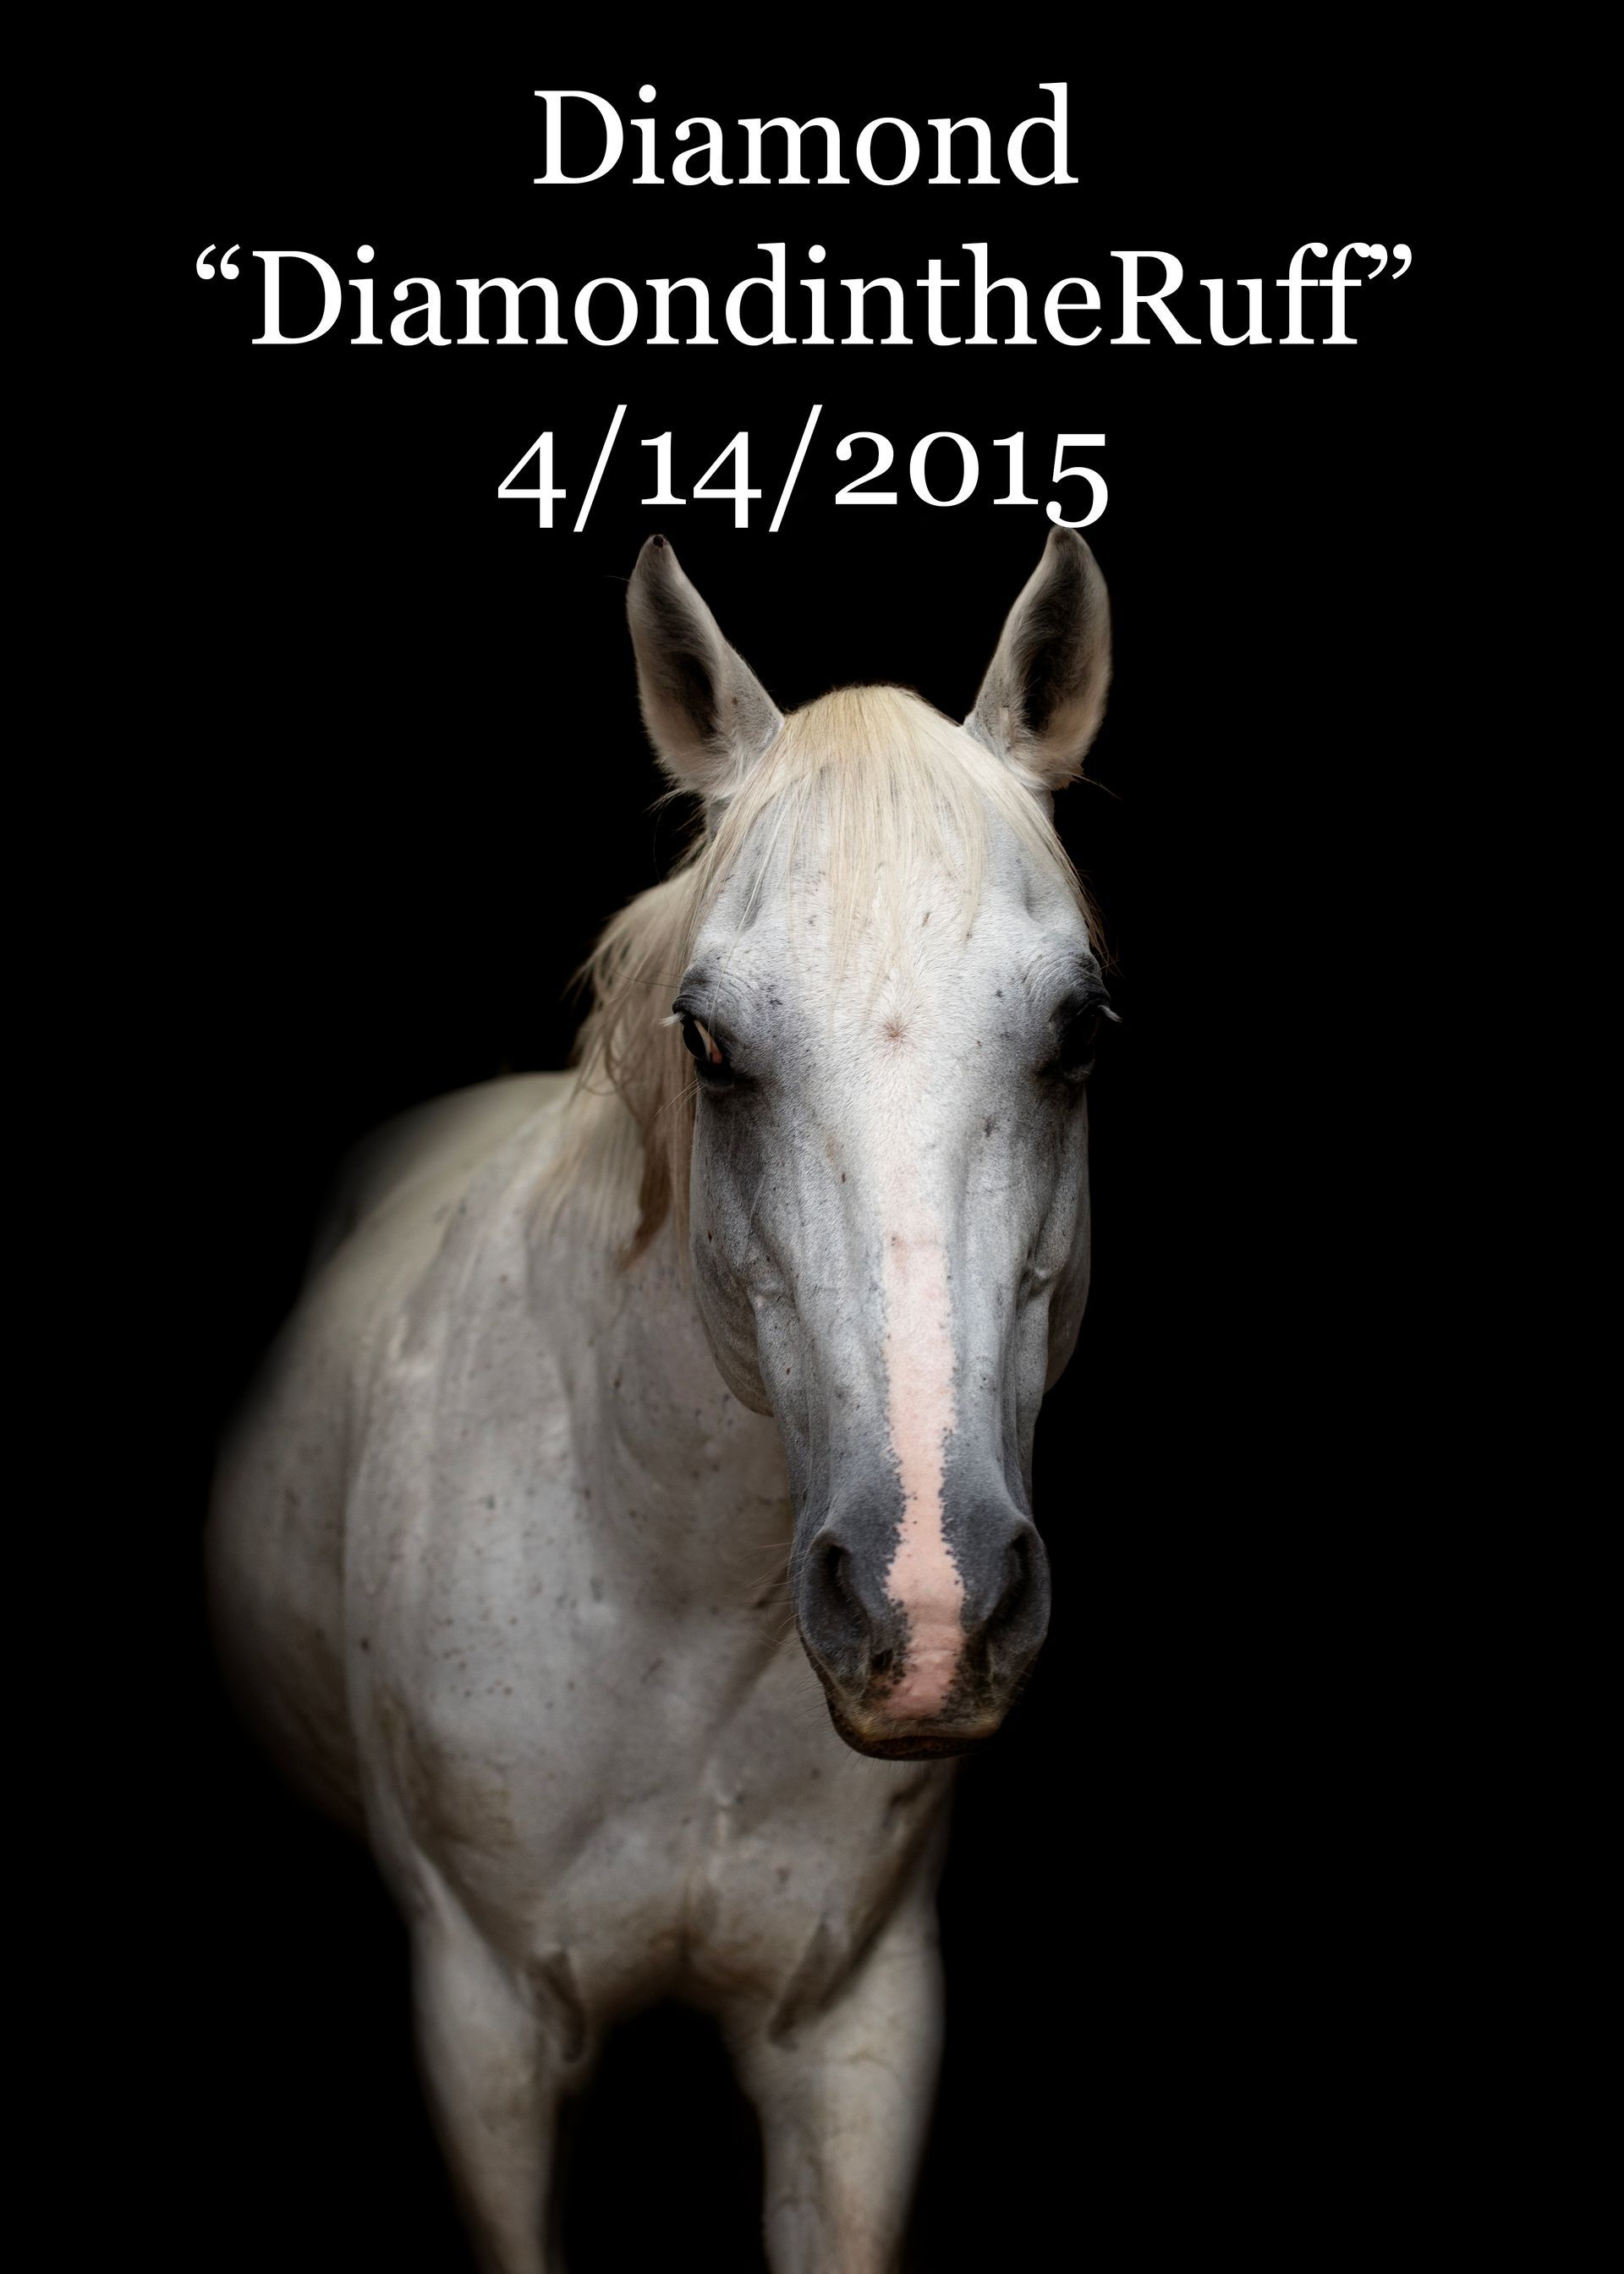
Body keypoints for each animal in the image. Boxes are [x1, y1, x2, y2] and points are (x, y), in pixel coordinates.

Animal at [208, 524, 1115, 2273]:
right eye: (708, 1040)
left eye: (1079, 1031)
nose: (928, 1606)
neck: (676, 1615)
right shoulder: (486, 2031)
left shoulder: (854, 2034)